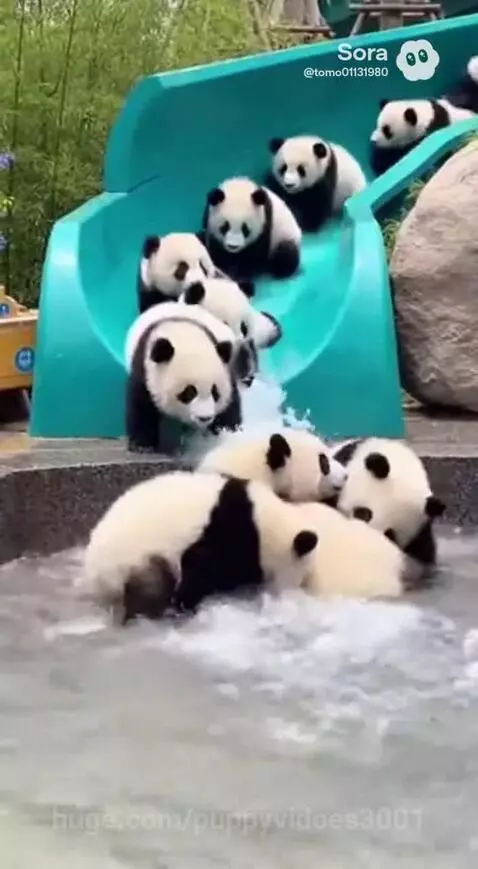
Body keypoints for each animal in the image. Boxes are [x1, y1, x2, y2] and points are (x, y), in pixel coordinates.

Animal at [78, 469, 320, 623]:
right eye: (301, 576)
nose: (286, 596)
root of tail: (94, 575)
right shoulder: (227, 533)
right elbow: (201, 570)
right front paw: (184, 606)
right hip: (135, 558)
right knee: (151, 586)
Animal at [124, 303, 242, 454]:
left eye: (215, 392)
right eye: (189, 392)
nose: (204, 418)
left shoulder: (226, 369)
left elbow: (230, 403)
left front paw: (228, 431)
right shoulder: (145, 371)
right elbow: (141, 406)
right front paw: (142, 445)